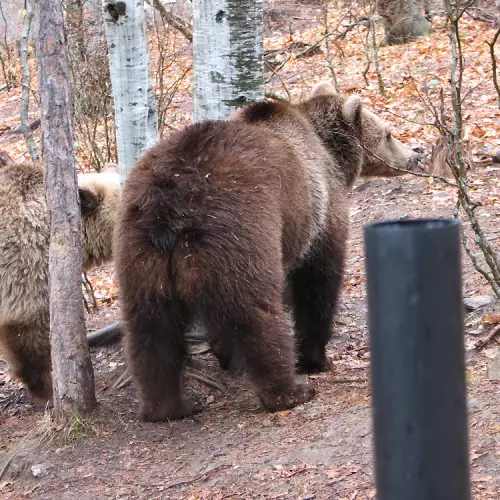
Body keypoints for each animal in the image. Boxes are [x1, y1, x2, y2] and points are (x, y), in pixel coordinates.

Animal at [115, 83, 420, 422]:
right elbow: (318, 282)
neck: (327, 151)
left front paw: (226, 356)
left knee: (150, 327)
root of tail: (169, 207)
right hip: (240, 232)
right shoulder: (318, 208)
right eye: (389, 134)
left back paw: (167, 406)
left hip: (139, 252)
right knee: (254, 314)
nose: (415, 155)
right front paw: (316, 358)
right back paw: (290, 392)